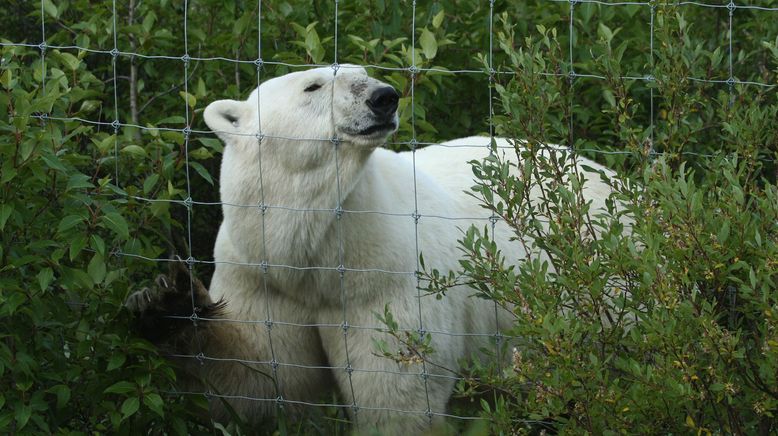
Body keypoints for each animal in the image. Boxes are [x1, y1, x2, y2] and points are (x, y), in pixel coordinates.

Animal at [124, 64, 616, 432]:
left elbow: (393, 399)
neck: (316, 255)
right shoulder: (260, 274)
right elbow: (261, 378)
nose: (384, 97)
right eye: (313, 85)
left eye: (362, 72)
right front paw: (165, 301)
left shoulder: (383, 280)